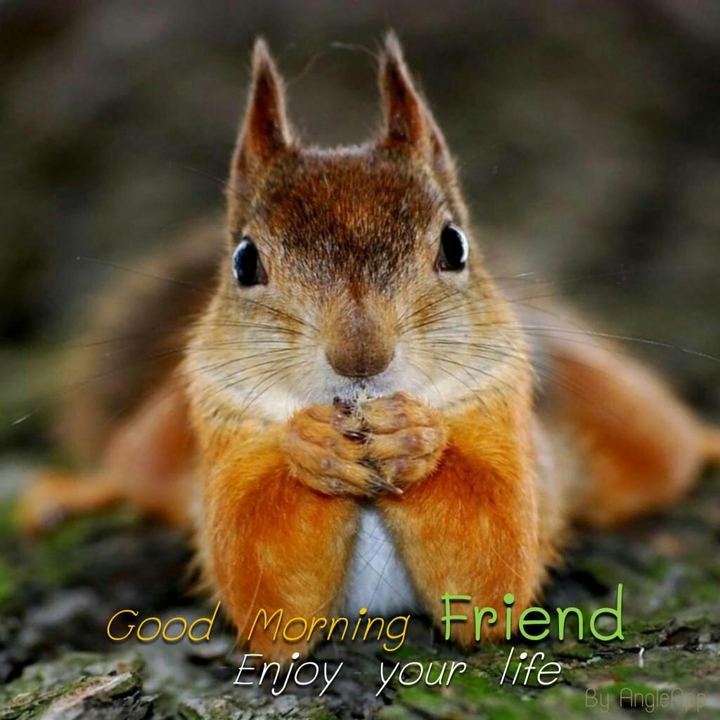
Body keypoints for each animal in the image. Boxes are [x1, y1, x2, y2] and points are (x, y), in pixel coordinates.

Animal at [18, 33, 720, 663]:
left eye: (455, 246)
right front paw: (313, 447)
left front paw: (414, 438)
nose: (361, 358)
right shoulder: (222, 425)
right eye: (244, 262)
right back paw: (74, 492)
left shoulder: (504, 415)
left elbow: (494, 564)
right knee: (132, 470)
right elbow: (262, 580)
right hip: (164, 435)